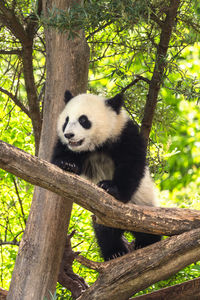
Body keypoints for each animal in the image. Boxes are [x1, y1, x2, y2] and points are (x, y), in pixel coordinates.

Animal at [51, 90, 161, 262]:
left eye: (83, 120)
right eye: (66, 120)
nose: (69, 135)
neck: (98, 145)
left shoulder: (123, 133)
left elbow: (131, 165)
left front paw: (110, 187)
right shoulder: (67, 146)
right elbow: (60, 155)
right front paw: (67, 164)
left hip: (145, 204)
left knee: (148, 227)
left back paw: (145, 243)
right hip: (102, 216)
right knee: (105, 231)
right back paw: (115, 252)